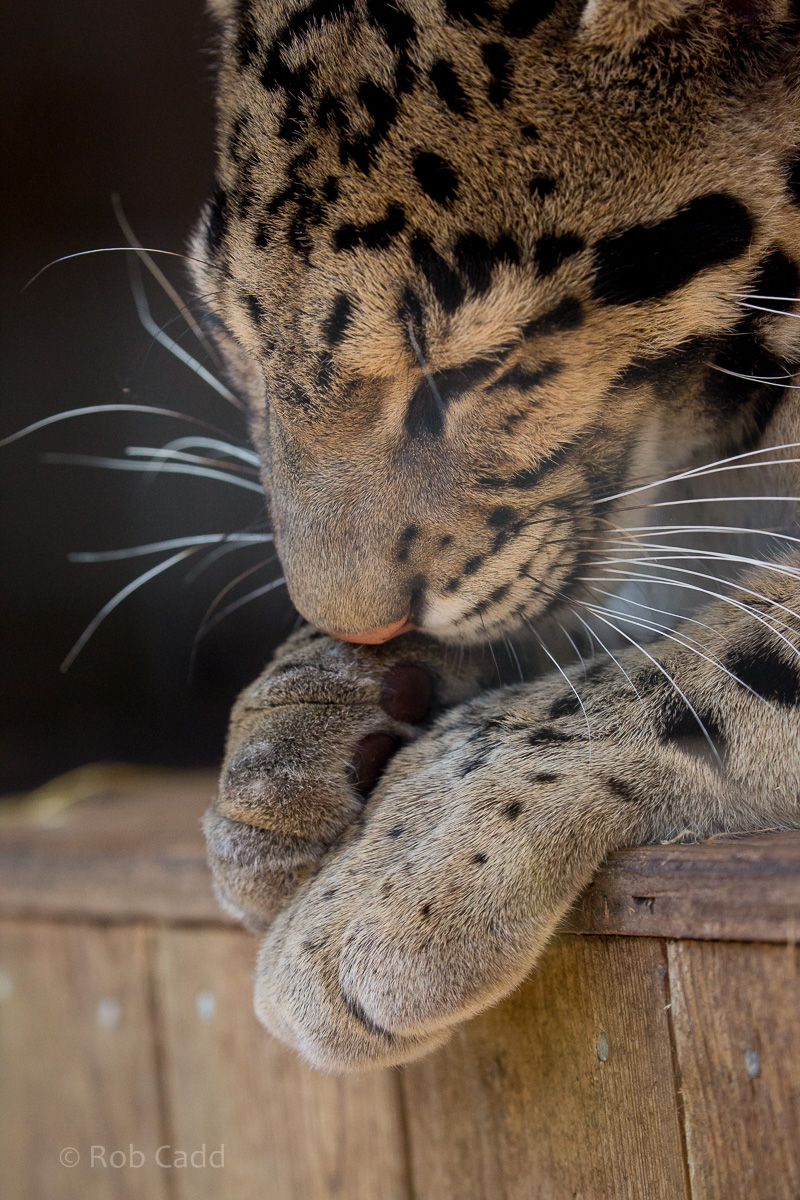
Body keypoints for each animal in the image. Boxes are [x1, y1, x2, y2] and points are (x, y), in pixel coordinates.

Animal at [194, 0, 800, 1072]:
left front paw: (410, 855)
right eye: (237, 336)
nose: (362, 631)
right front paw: (301, 730)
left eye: (474, 370)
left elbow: (740, 647)